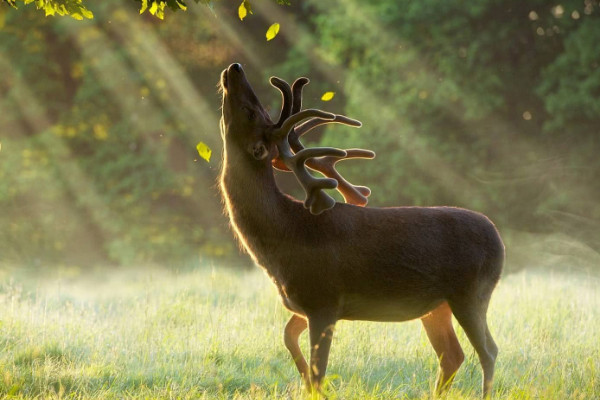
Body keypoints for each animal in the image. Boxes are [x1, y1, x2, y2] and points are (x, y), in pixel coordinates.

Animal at [218, 62, 504, 396]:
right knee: (452, 354)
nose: (235, 67)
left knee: (488, 350)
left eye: (251, 112)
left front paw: (315, 388)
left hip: (471, 292)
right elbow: (288, 338)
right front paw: (304, 383)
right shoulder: (305, 303)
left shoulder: (324, 298)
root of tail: (499, 240)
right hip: (437, 306)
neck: (283, 237)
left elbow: (319, 369)